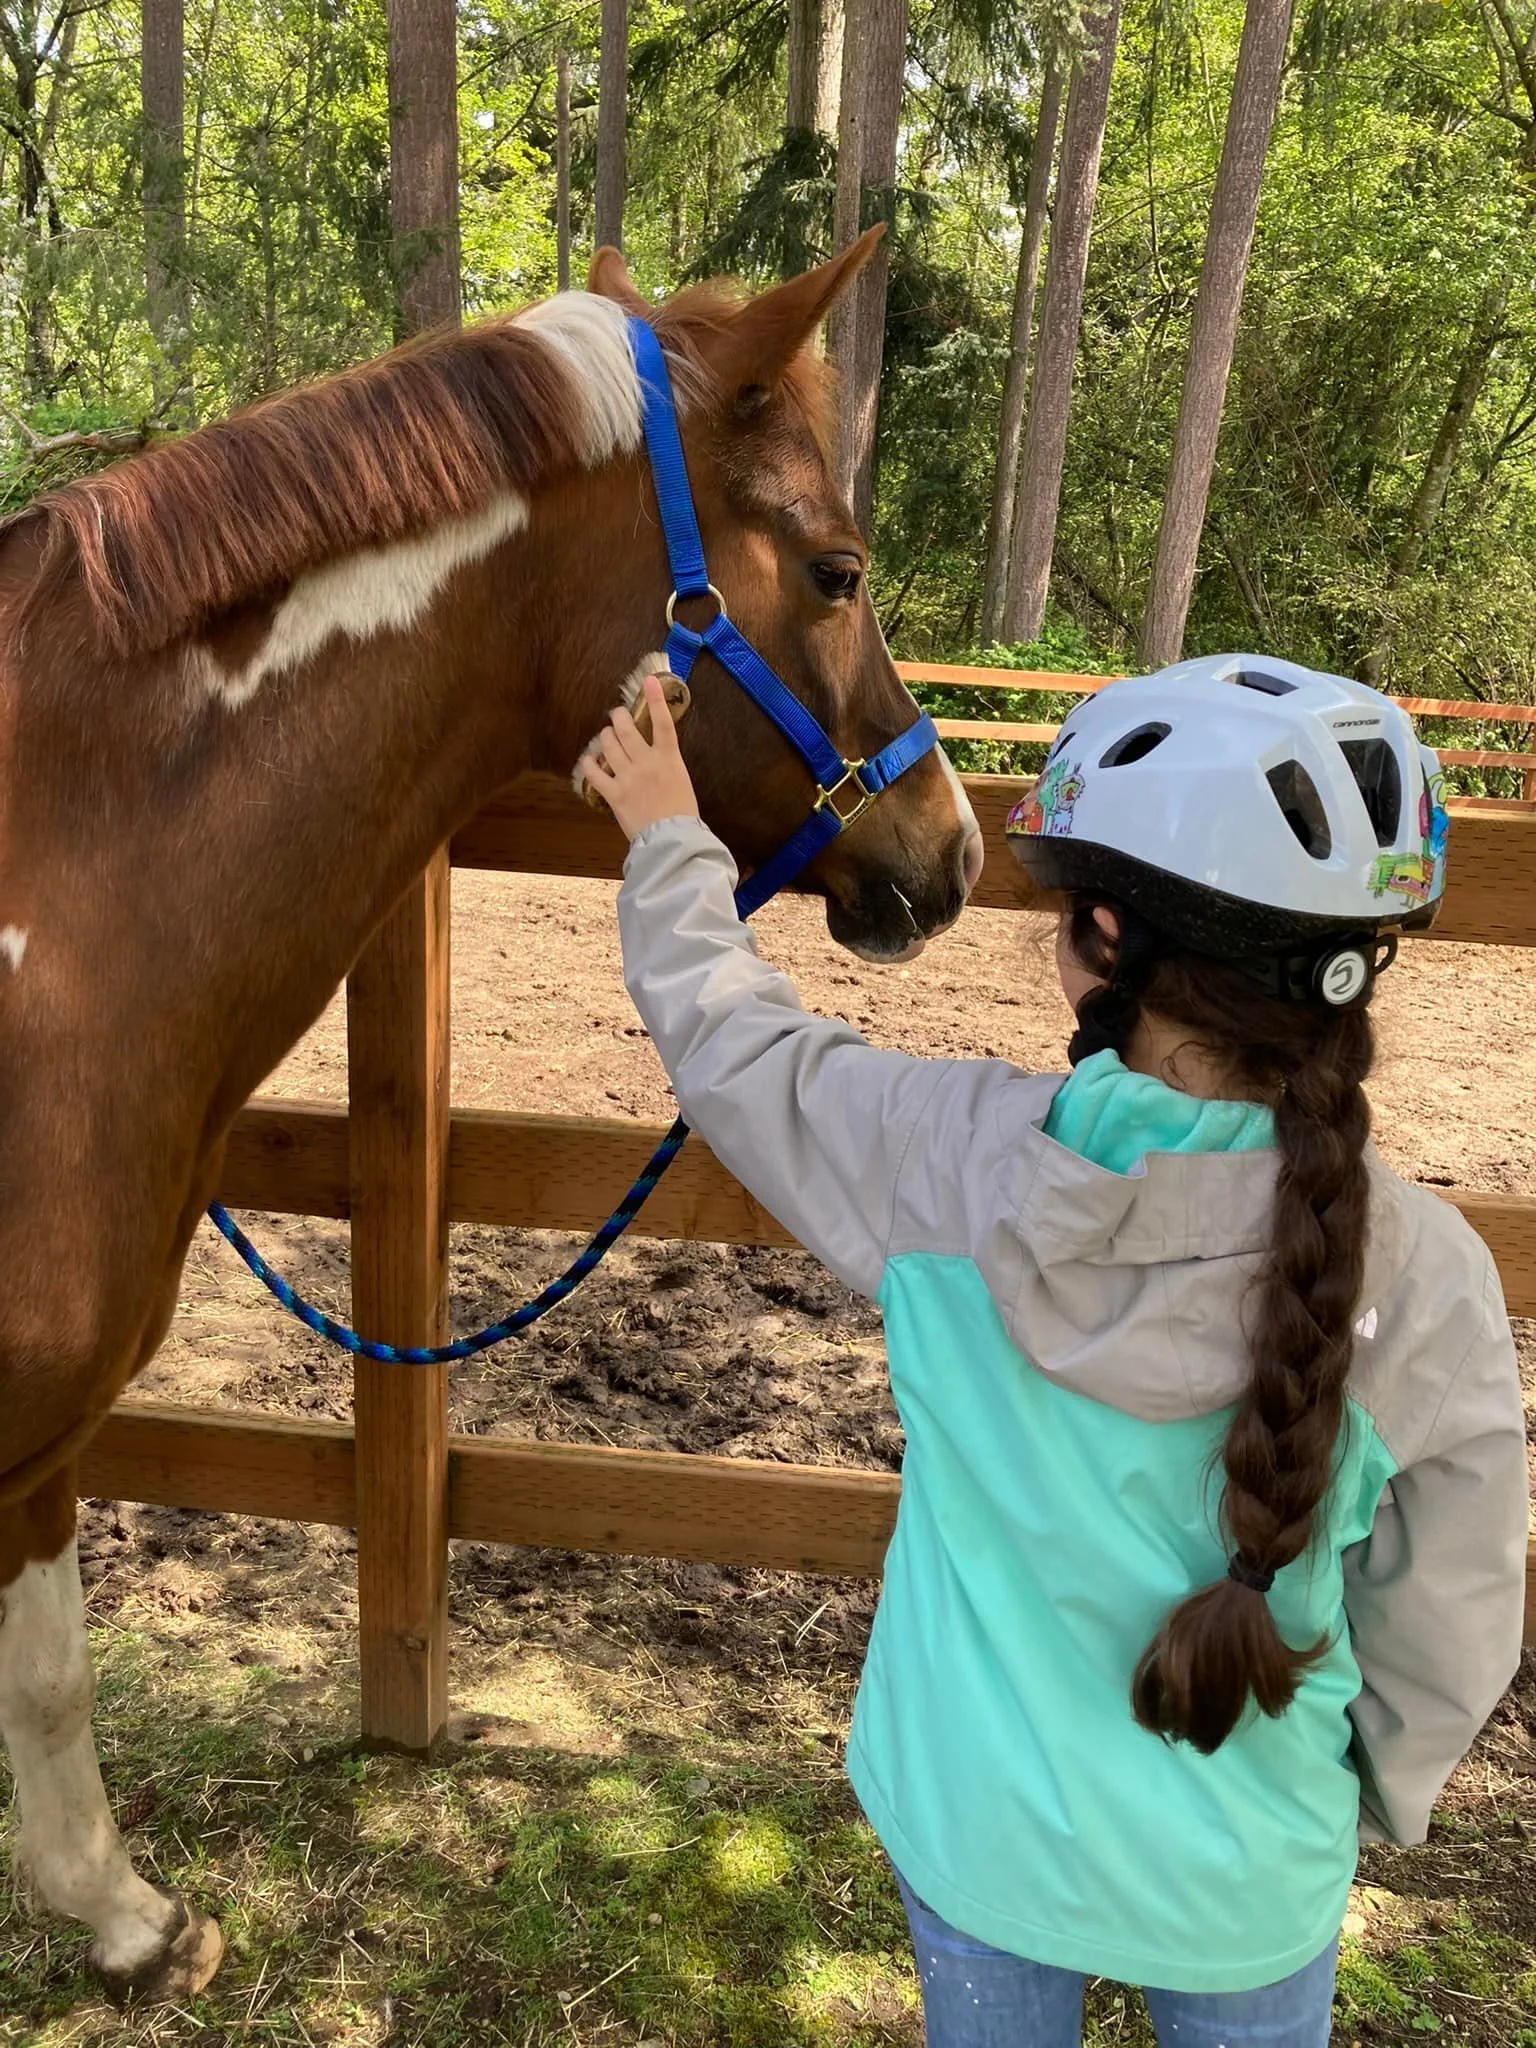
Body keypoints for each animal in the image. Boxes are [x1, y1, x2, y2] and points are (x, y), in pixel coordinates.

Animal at [0, 228, 983, 2002]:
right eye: (837, 570)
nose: (955, 852)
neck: (51, 922)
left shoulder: (45, 1434)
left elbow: (46, 1669)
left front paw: (124, 1922)